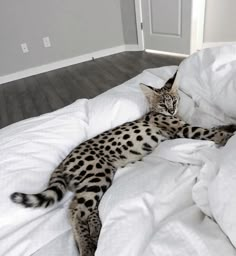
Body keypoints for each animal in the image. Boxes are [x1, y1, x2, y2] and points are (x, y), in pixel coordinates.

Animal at [10, 72, 235, 256]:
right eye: (163, 104)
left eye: (175, 100)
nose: (171, 111)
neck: (162, 114)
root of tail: (64, 161)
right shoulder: (184, 130)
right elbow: (208, 131)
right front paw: (228, 136)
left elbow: (214, 126)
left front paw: (229, 125)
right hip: (97, 173)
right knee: (74, 210)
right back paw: (85, 247)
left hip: (99, 178)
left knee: (86, 207)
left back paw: (96, 231)